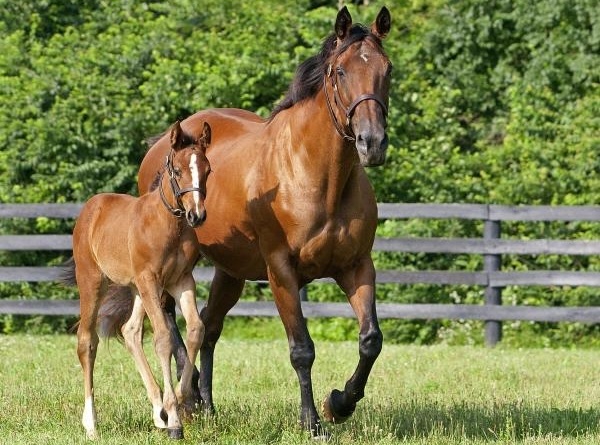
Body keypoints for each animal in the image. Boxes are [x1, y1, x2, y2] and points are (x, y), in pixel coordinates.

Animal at [67, 120, 211, 438]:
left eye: (207, 170)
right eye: (177, 171)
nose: (196, 216)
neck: (168, 224)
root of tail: (91, 207)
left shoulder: (180, 281)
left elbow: (196, 329)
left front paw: (175, 402)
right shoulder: (150, 280)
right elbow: (163, 338)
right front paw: (175, 419)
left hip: (137, 289)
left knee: (130, 331)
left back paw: (158, 413)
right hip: (94, 282)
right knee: (87, 341)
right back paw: (91, 423)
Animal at [105, 6, 392, 438]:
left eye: (387, 69)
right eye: (340, 71)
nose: (371, 143)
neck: (315, 176)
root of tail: (162, 145)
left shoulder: (356, 267)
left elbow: (370, 340)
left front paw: (338, 404)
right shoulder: (281, 272)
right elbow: (302, 349)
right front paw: (311, 422)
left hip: (231, 272)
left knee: (208, 328)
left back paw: (207, 405)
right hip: (171, 268)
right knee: (172, 324)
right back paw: (187, 403)